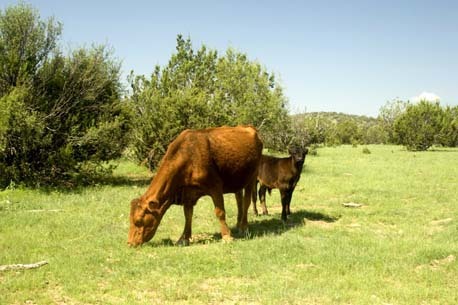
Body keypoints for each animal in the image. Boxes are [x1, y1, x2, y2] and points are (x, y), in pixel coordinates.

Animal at [129, 124, 264, 246]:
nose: (130, 243)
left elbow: (220, 212)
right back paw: (237, 224)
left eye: (138, 221)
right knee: (239, 199)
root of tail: (248, 127)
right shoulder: (188, 193)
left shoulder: (215, 186)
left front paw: (226, 236)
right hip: (238, 180)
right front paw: (183, 238)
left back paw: (243, 227)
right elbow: (187, 215)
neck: (188, 156)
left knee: (247, 201)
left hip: (252, 177)